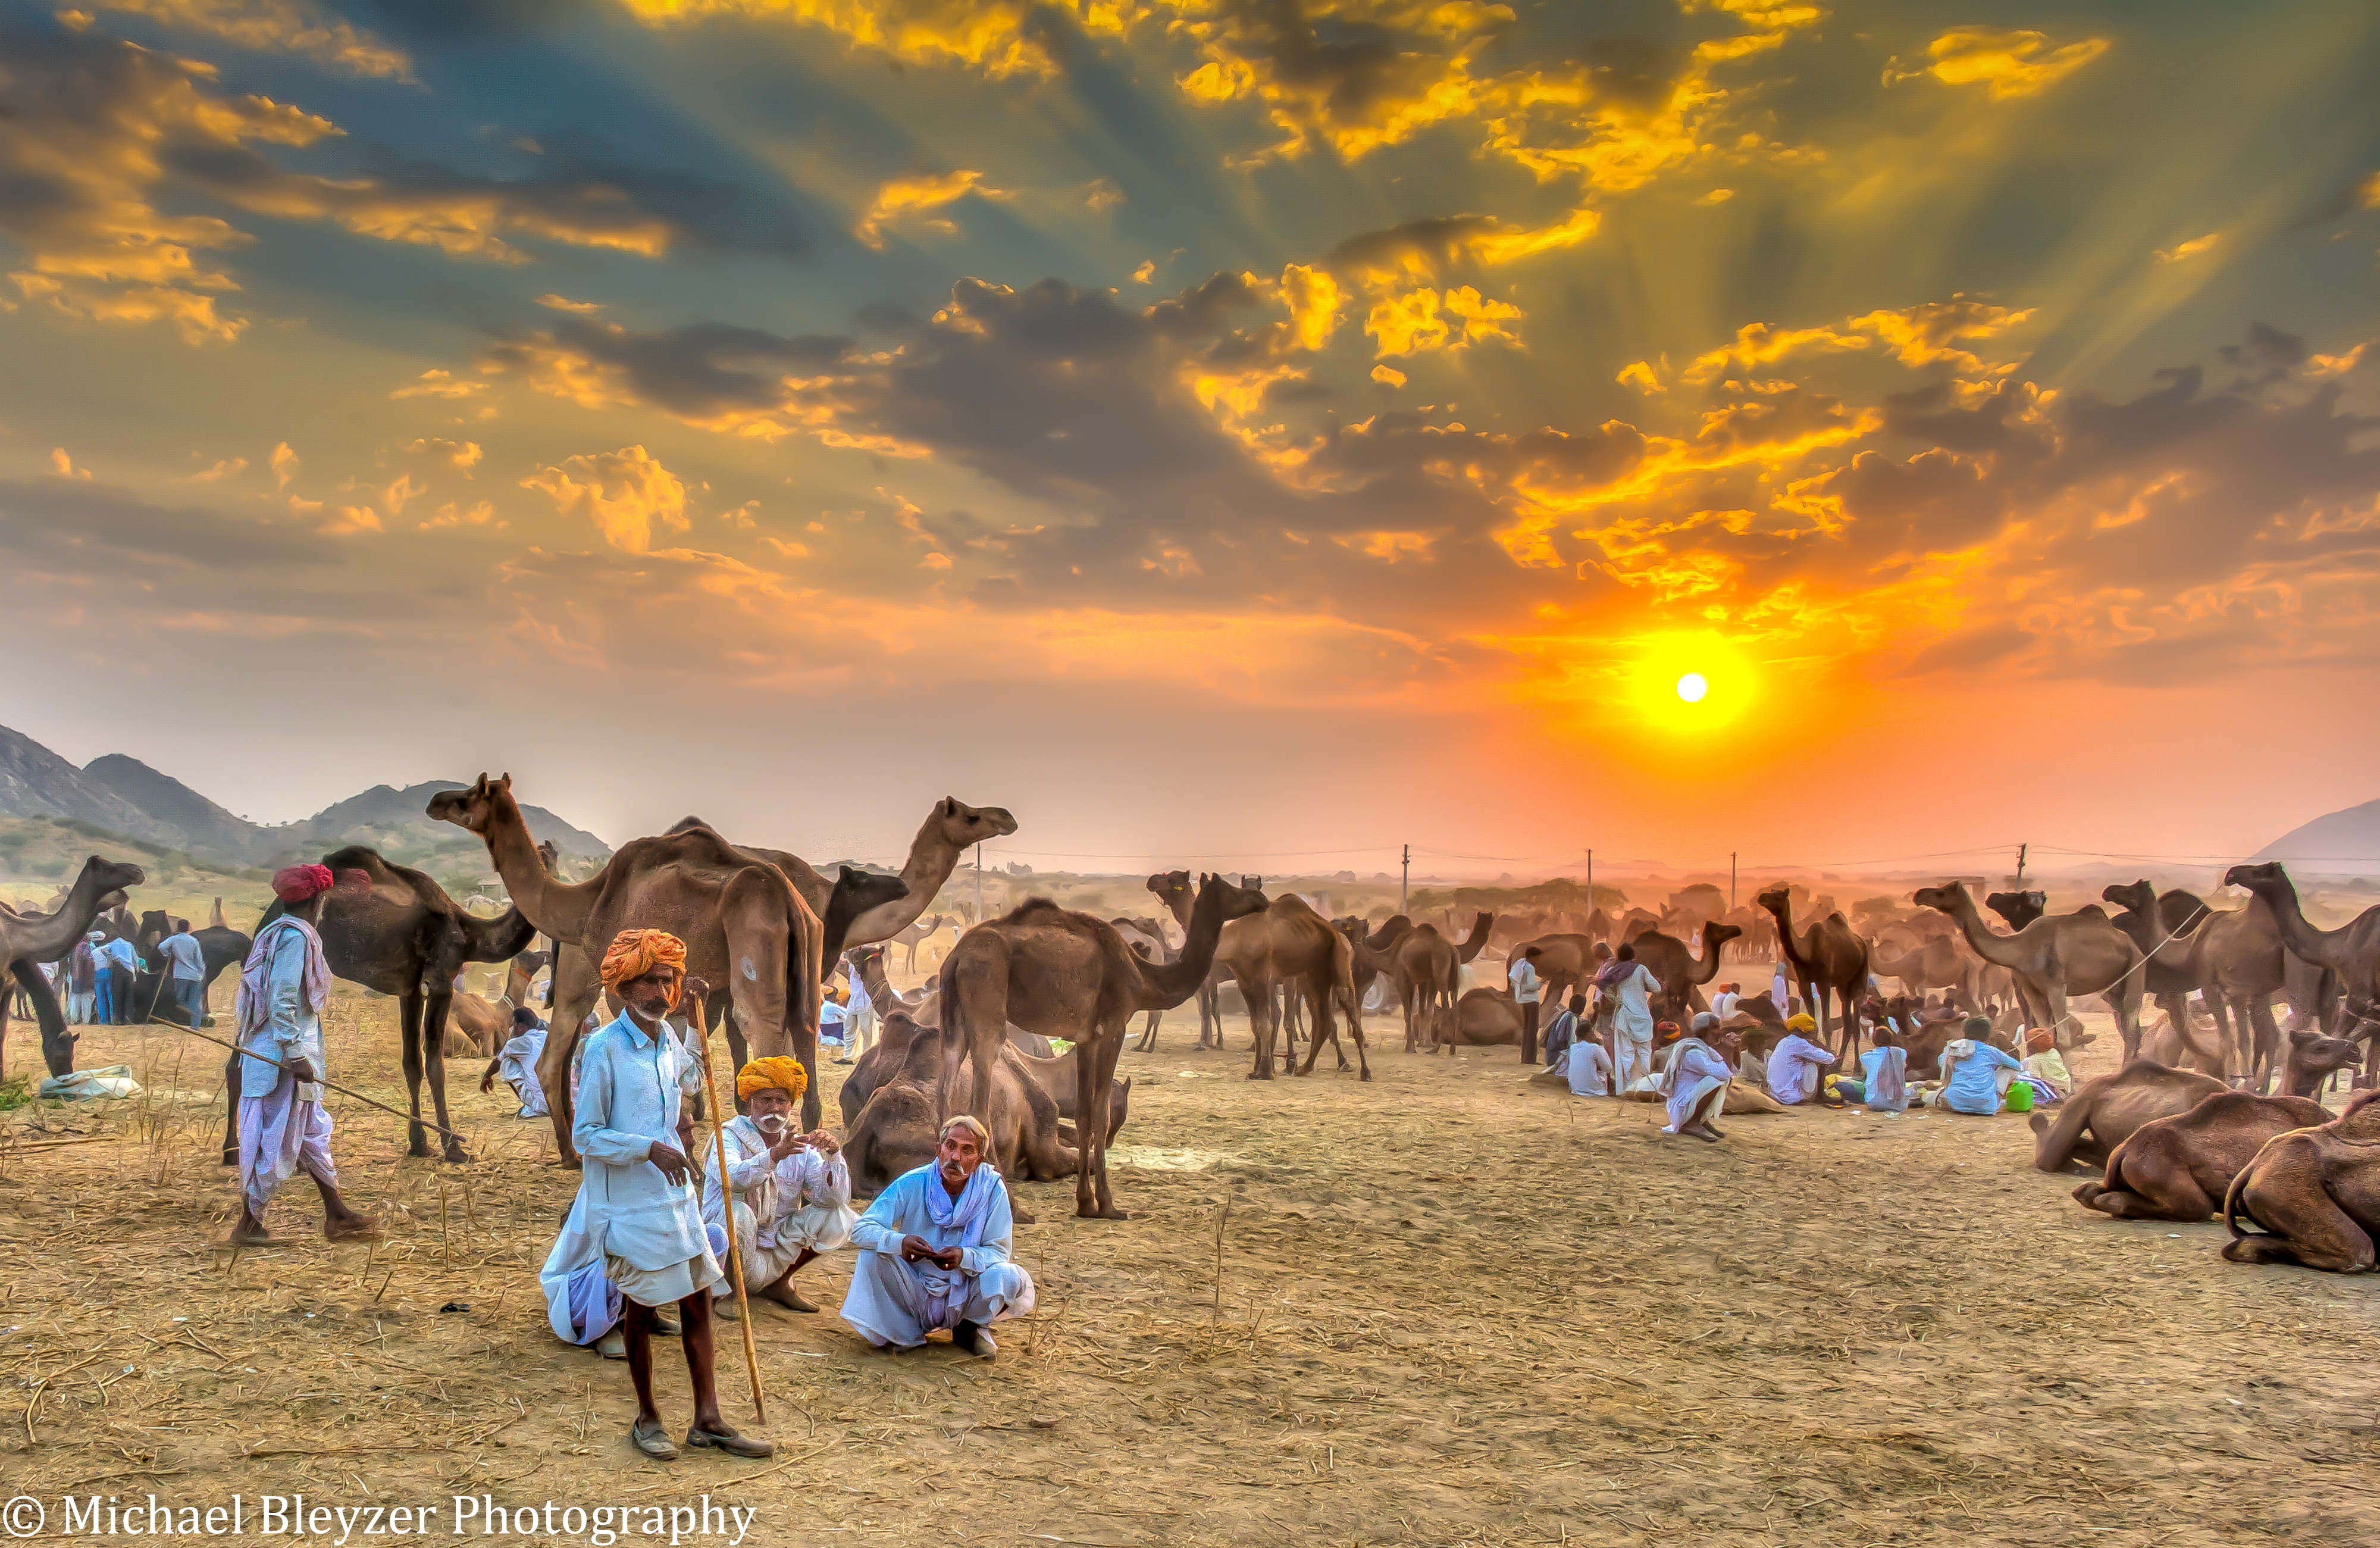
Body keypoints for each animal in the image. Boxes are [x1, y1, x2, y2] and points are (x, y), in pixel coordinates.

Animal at [428, 771, 828, 1157]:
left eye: (470, 794)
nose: (435, 802)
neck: (587, 904)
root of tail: (789, 901)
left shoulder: (621, 981)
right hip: (809, 952)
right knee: (804, 1030)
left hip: (753, 936)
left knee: (760, 1028)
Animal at [938, 876, 1276, 1209]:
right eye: (1229, 888)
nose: (1261, 899)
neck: (1142, 977)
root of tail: (957, 956)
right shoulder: (1113, 1028)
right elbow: (1102, 1113)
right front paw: (1107, 1202)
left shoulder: (1087, 1038)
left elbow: (1085, 1115)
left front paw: (1085, 1203)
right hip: (987, 996)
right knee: (980, 1098)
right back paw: (1013, 1206)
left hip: (953, 1013)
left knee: (947, 1084)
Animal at [1752, 886, 1875, 1052]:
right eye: (1772, 892)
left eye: (1778, 896)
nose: (1761, 897)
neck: (1807, 954)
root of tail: (1862, 943)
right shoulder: (1803, 982)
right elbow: (1813, 1022)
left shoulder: (1824, 983)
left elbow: (1826, 1025)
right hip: (1843, 986)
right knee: (1848, 1022)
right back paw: (1839, 1059)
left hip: (1860, 977)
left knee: (1855, 1023)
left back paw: (1854, 1060)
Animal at [1904, 881, 2152, 1062]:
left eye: (1941, 893)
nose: (1919, 894)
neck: (2021, 948)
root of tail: (2130, 943)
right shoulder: (2030, 988)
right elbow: (2045, 1033)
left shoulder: (2056, 986)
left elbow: (2063, 1039)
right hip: (2114, 988)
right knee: (2129, 1027)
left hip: (2136, 968)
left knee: (2131, 1030)